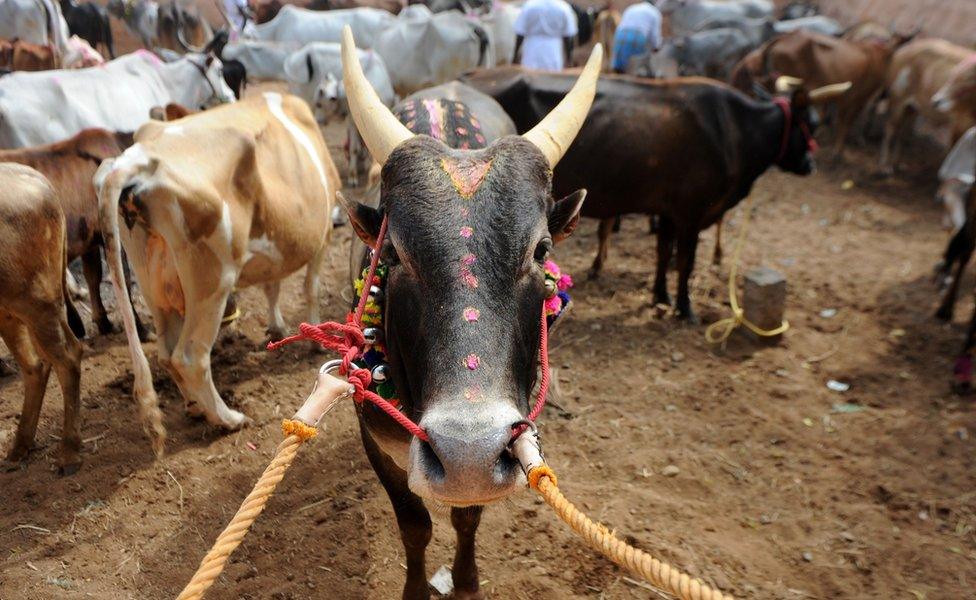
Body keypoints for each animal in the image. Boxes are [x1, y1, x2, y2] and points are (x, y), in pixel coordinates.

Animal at [95, 91, 340, 452]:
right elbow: (311, 287)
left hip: (153, 279)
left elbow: (273, 286)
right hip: (212, 279)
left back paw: (196, 408)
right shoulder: (324, 236)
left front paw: (277, 328)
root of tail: (138, 160)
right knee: (189, 356)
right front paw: (316, 342)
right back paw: (229, 419)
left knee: (167, 352)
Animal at [880, 38, 972, 175]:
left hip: (911, 108)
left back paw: (898, 164)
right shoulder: (959, 123)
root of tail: (900, 51)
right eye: (954, 76)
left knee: (903, 132)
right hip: (898, 100)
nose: (938, 100)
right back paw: (885, 166)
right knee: (891, 129)